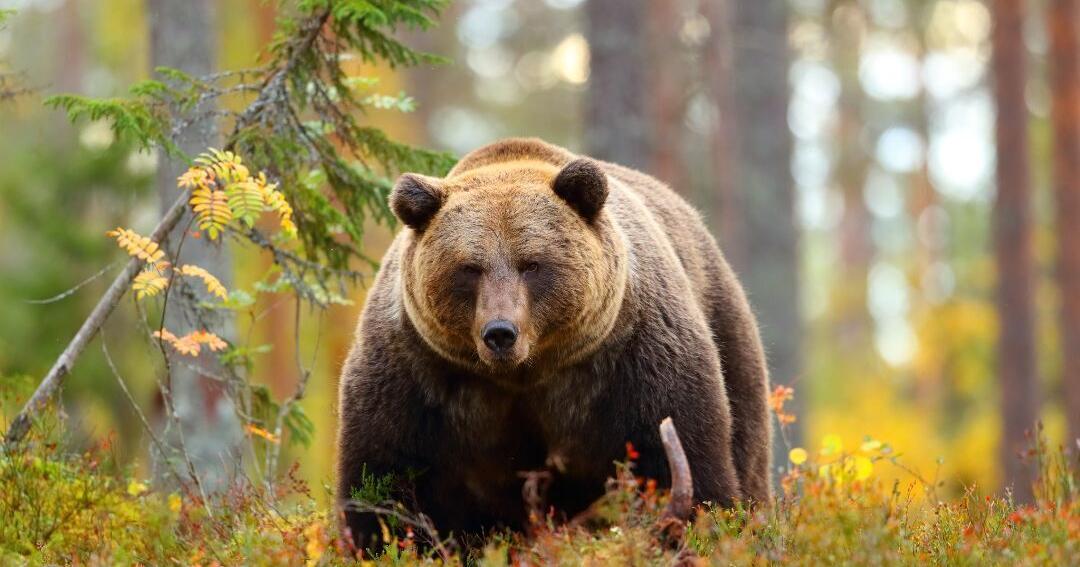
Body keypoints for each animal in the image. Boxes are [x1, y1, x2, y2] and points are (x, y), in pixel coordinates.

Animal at [336, 138, 771, 549]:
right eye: (470, 268)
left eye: (532, 263)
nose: (500, 332)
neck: (525, 374)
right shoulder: (416, 375)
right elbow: (382, 477)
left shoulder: (635, 359)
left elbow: (683, 459)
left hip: (727, 331)